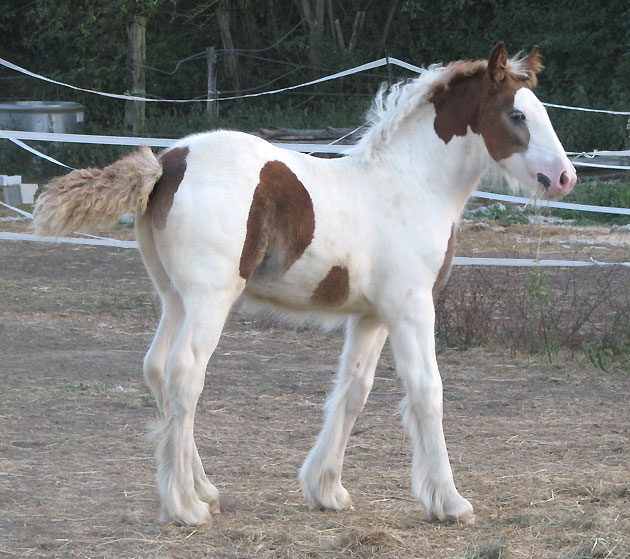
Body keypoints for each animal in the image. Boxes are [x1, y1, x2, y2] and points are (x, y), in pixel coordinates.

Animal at [34, 42, 576, 524]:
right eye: (517, 114)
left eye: (543, 111)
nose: (565, 178)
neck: (412, 183)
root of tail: (169, 163)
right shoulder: (411, 306)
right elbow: (427, 391)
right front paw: (449, 501)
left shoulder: (372, 315)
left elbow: (353, 390)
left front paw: (326, 489)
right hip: (209, 299)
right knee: (184, 373)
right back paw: (185, 506)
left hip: (174, 298)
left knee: (156, 369)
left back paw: (204, 488)